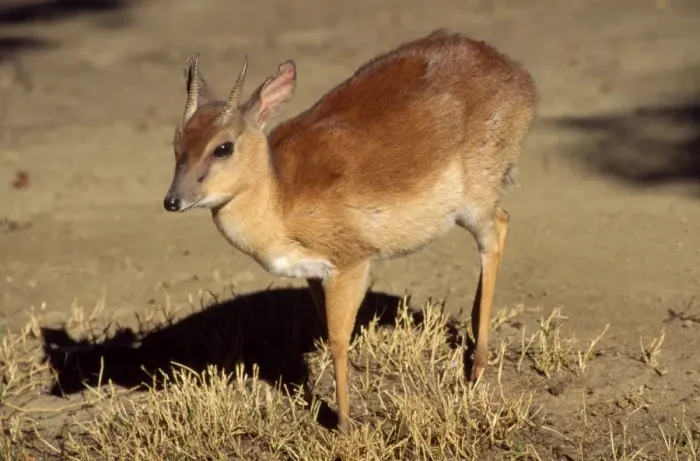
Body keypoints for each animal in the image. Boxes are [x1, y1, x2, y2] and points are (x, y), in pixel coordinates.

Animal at [163, 29, 537, 433]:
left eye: (223, 147)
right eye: (177, 143)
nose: (173, 201)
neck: (281, 197)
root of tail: (517, 75)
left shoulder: (351, 265)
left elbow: (339, 340)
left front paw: (343, 423)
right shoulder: (313, 274)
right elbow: (327, 331)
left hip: (476, 203)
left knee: (496, 235)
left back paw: (477, 368)